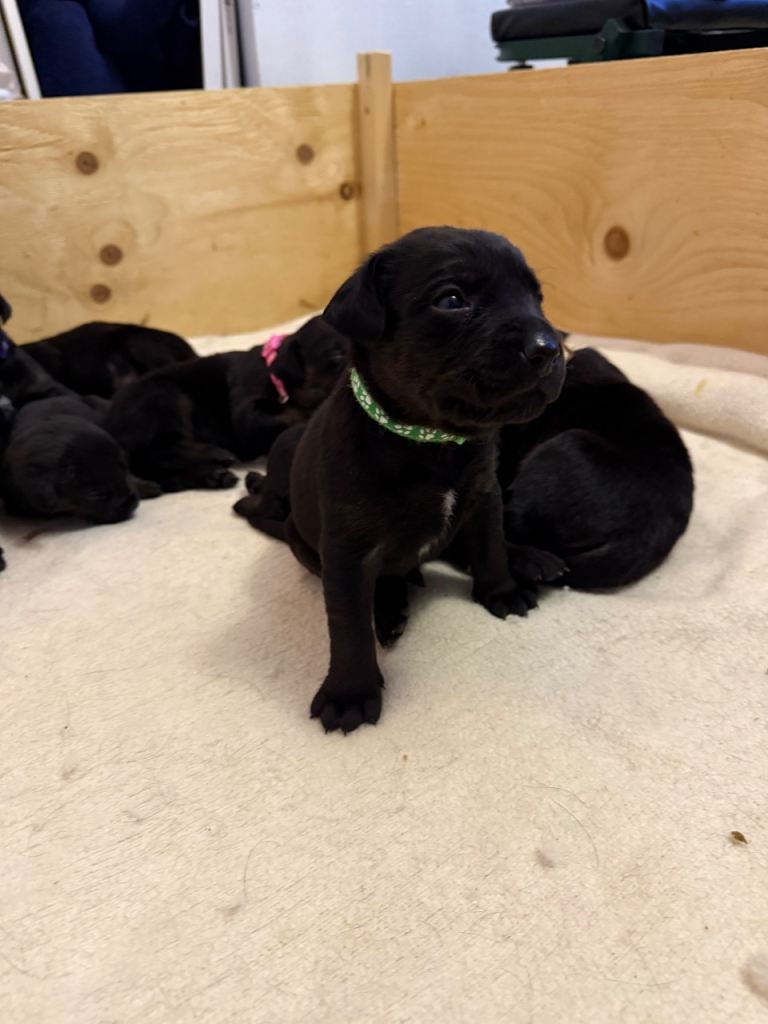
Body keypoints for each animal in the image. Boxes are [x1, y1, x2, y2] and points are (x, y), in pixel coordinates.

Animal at [105, 315, 348, 493]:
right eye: (336, 357)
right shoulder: (247, 411)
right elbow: (287, 414)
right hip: (164, 397)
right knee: (161, 447)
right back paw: (216, 455)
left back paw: (213, 476)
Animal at [240, 227, 567, 733]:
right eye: (451, 300)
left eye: (537, 299)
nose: (548, 348)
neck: (432, 441)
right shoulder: (348, 547)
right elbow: (348, 621)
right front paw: (350, 692)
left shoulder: (483, 495)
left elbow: (489, 545)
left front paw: (502, 590)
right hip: (303, 541)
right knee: (382, 582)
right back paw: (390, 606)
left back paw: (528, 557)